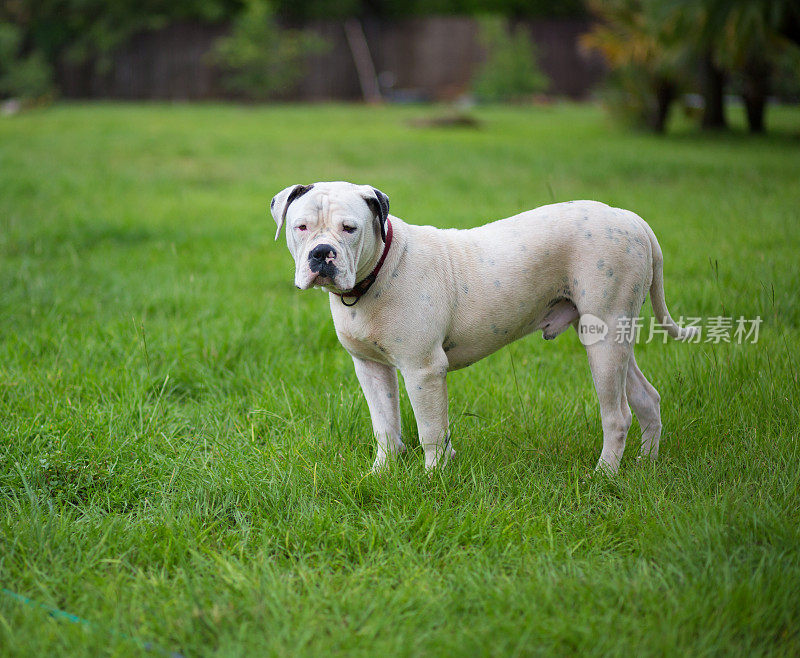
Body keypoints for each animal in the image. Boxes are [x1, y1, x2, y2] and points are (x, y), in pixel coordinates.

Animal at [270, 182, 692, 474]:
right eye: (301, 227)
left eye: (350, 228)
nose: (321, 253)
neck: (375, 274)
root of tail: (632, 219)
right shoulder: (371, 368)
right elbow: (385, 426)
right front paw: (381, 474)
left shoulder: (423, 370)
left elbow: (431, 430)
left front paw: (433, 478)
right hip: (612, 338)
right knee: (647, 398)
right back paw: (646, 464)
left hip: (603, 339)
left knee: (617, 415)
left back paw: (604, 475)